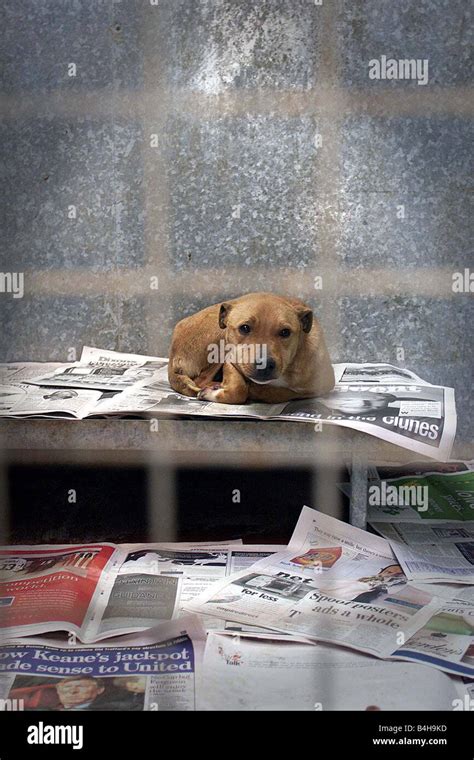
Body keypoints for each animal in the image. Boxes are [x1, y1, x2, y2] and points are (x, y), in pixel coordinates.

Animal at [168, 294, 336, 406]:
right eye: (244, 328)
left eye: (285, 332)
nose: (264, 365)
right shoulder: (231, 360)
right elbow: (238, 390)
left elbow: (284, 393)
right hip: (218, 339)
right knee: (200, 380)